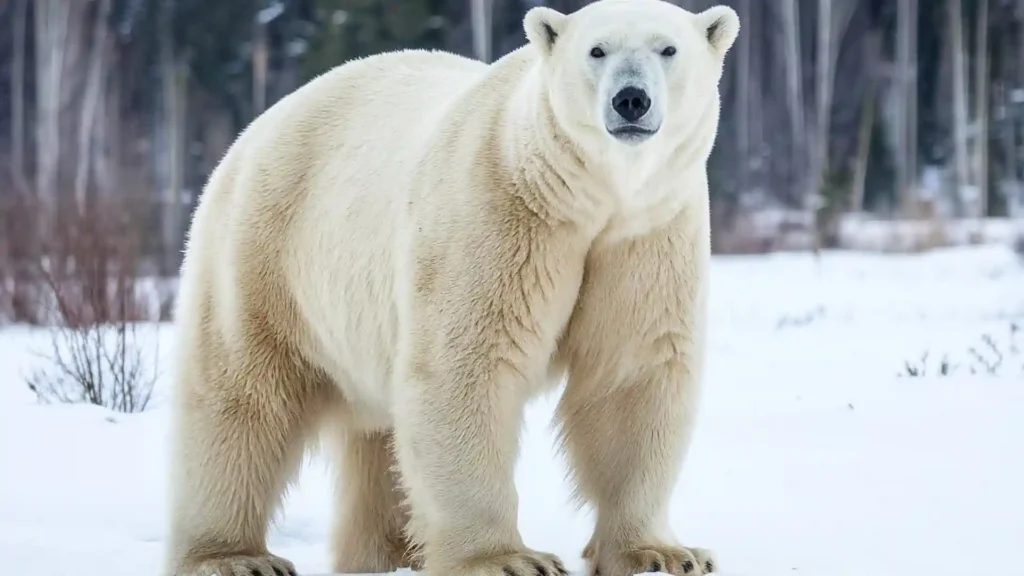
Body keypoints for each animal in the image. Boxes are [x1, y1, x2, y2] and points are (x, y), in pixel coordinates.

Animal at [163, 1, 741, 573]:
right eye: (596, 50)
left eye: (668, 48)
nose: (631, 99)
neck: (585, 196)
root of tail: (260, 125)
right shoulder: (499, 210)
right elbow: (466, 366)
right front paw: (505, 559)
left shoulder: (648, 234)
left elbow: (632, 373)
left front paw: (662, 553)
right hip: (265, 250)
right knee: (242, 396)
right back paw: (234, 556)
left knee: (378, 436)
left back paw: (392, 551)